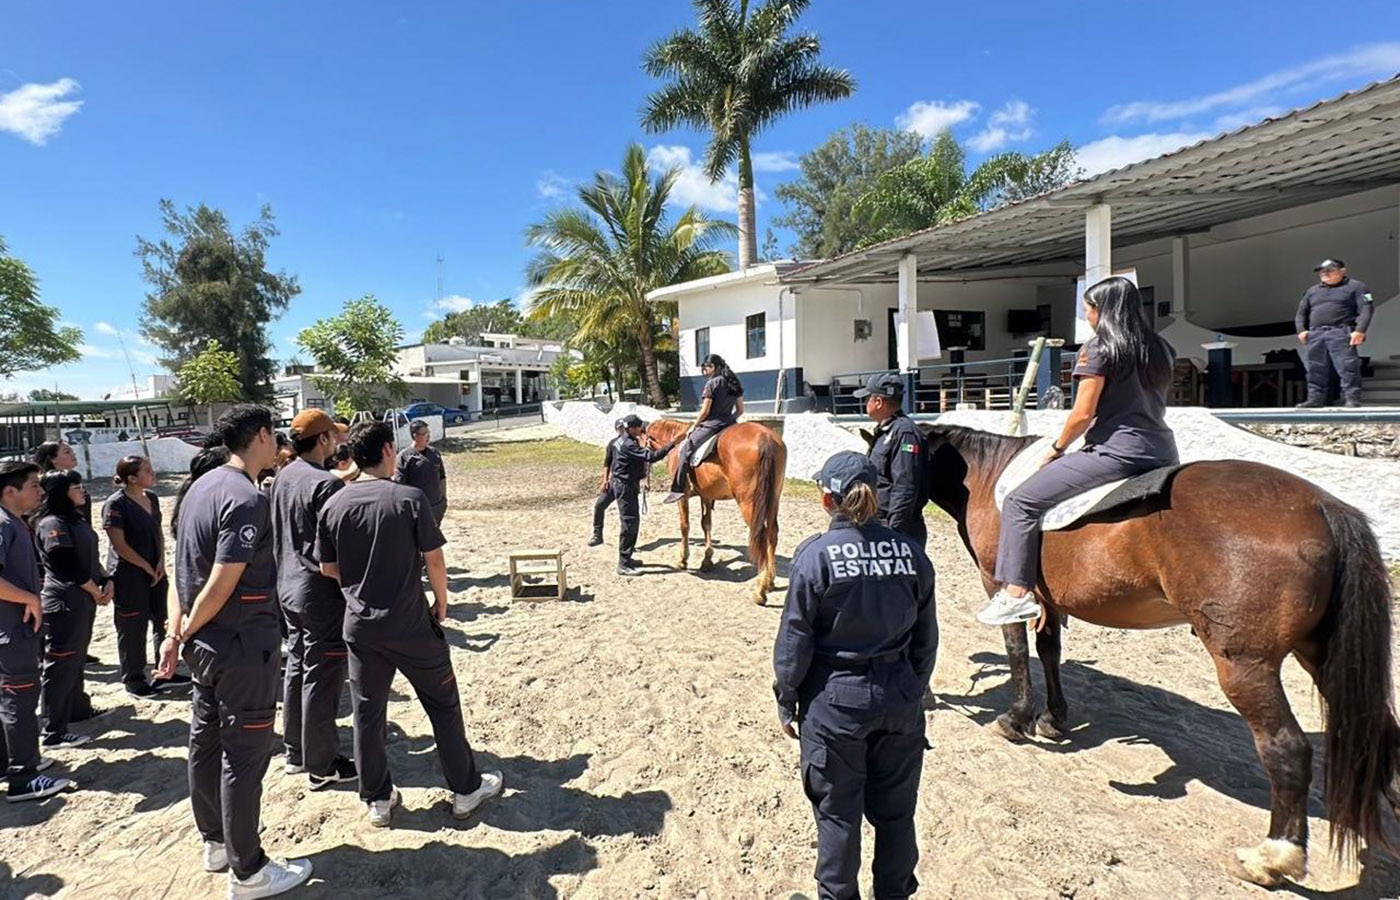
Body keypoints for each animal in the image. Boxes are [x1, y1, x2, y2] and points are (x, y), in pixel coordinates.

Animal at [644, 419, 789, 604]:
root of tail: (765, 437)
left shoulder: (683, 496)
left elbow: (685, 526)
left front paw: (683, 559)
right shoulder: (706, 495)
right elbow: (706, 524)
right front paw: (707, 560)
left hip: (749, 503)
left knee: (762, 536)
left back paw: (760, 590)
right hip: (772, 499)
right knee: (772, 533)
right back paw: (770, 581)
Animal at [924, 425, 1394, 890]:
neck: (989, 475)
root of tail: (1323, 506)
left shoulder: (1001, 584)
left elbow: (1018, 650)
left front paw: (1016, 719)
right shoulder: (1049, 600)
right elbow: (1049, 652)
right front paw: (1053, 719)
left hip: (1245, 667)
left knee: (1287, 750)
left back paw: (1271, 858)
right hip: (1320, 657)